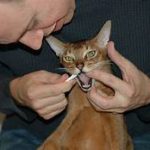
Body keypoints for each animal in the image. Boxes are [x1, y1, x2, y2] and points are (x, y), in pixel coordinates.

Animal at [37, 20, 132, 150]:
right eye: (68, 58)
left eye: (91, 53)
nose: (79, 66)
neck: (87, 103)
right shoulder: (71, 115)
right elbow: (52, 140)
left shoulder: (115, 119)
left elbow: (118, 143)